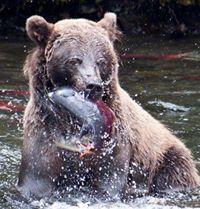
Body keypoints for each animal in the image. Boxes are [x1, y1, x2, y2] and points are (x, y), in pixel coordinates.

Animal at [18, 13, 199, 199]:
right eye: (74, 60)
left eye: (100, 60)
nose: (93, 85)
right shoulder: (44, 132)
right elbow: (37, 179)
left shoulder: (116, 140)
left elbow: (109, 177)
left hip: (166, 159)